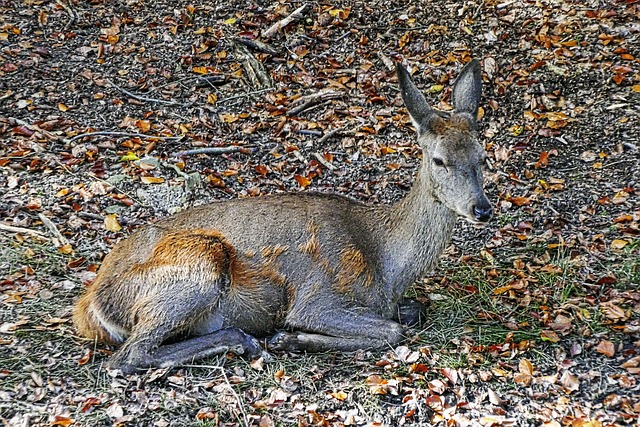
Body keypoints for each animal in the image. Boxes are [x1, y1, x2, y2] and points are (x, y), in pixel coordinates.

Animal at [74, 59, 490, 374]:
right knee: (127, 357)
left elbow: (411, 313)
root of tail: (90, 306)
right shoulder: (318, 297)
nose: (481, 208)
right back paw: (248, 340)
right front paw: (289, 336)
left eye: (483, 156)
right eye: (439, 160)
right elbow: (391, 330)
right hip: (195, 266)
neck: (385, 264)